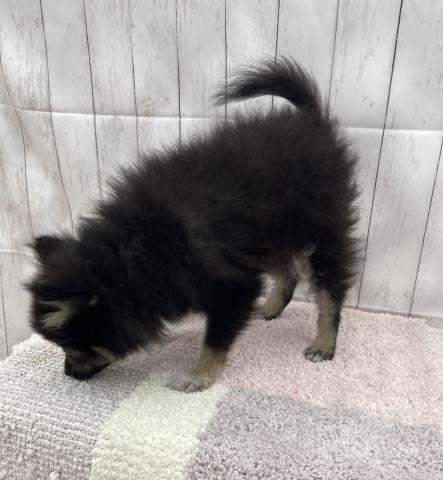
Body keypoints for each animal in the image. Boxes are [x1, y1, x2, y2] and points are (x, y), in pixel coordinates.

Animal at [25, 57, 359, 392]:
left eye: (73, 347)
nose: (68, 372)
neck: (133, 254)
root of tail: (311, 119)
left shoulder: (233, 284)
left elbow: (215, 337)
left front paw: (199, 376)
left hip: (323, 227)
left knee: (331, 289)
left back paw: (323, 344)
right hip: (274, 229)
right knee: (286, 270)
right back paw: (270, 308)